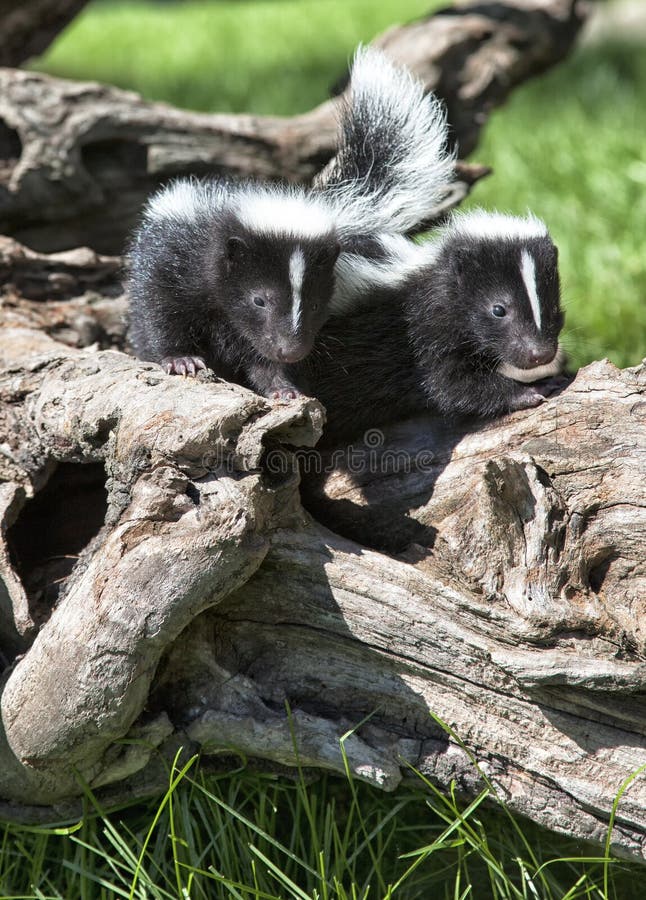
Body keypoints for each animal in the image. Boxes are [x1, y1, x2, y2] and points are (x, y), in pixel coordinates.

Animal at [128, 46, 456, 398]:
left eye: (315, 304)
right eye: (259, 299)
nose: (291, 350)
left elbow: (260, 357)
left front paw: (284, 387)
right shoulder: (175, 262)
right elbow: (161, 312)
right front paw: (181, 359)